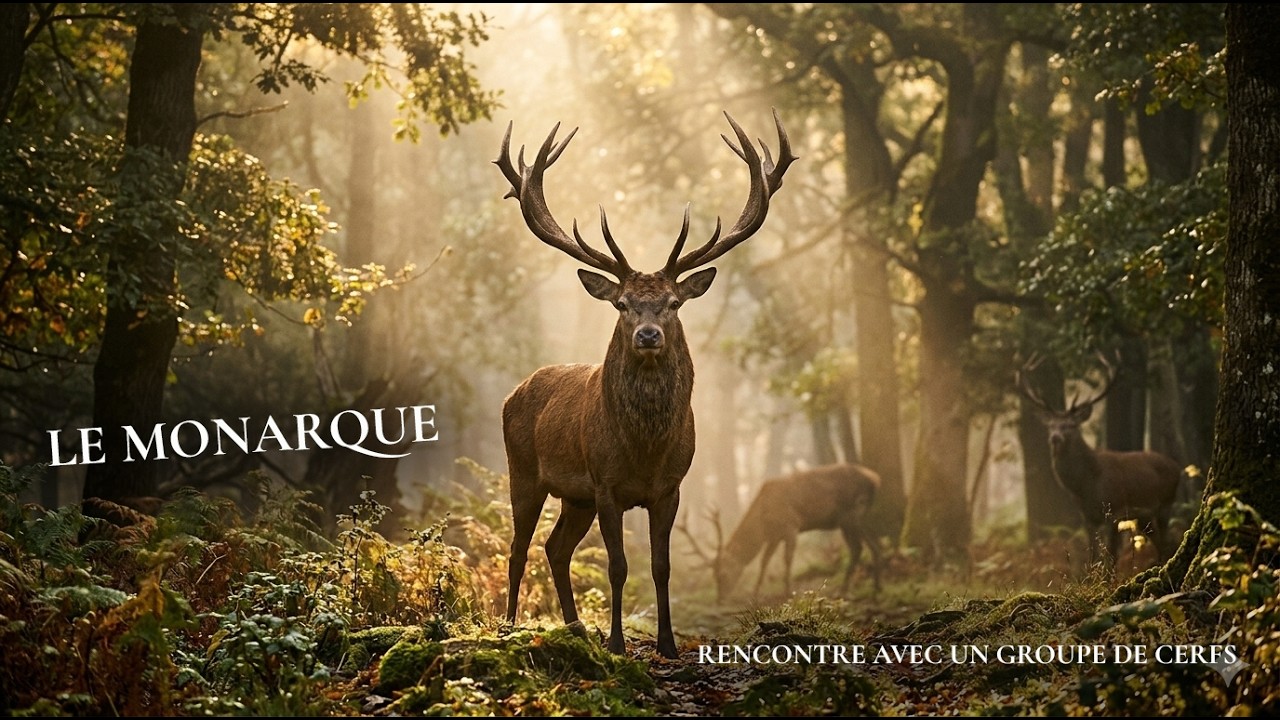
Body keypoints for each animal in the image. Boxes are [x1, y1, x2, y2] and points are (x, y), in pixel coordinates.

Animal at [496, 110, 795, 659]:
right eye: (622, 304)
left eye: (673, 303)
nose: (649, 335)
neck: (644, 450)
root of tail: (515, 391)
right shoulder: (606, 482)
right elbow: (618, 567)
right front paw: (616, 642)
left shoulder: (670, 487)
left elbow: (661, 567)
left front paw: (669, 644)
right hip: (523, 471)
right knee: (519, 547)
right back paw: (508, 626)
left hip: (575, 497)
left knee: (555, 547)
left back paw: (574, 628)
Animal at [682, 463, 882, 602]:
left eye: (722, 574)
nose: (720, 598)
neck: (763, 524)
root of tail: (875, 479)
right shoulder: (774, 536)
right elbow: (764, 561)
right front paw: (755, 593)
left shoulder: (790, 525)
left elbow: (787, 558)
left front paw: (787, 592)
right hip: (854, 518)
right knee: (872, 545)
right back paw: (875, 589)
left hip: (852, 514)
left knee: (859, 547)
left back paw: (846, 590)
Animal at [1017, 355, 1182, 571]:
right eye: (1051, 426)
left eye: (1070, 425)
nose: (1055, 438)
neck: (1086, 485)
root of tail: (1177, 467)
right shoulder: (1088, 517)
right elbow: (1092, 557)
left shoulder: (1114, 511)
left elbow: (1111, 557)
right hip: (1144, 515)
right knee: (1161, 542)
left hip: (1166, 502)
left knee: (1167, 541)